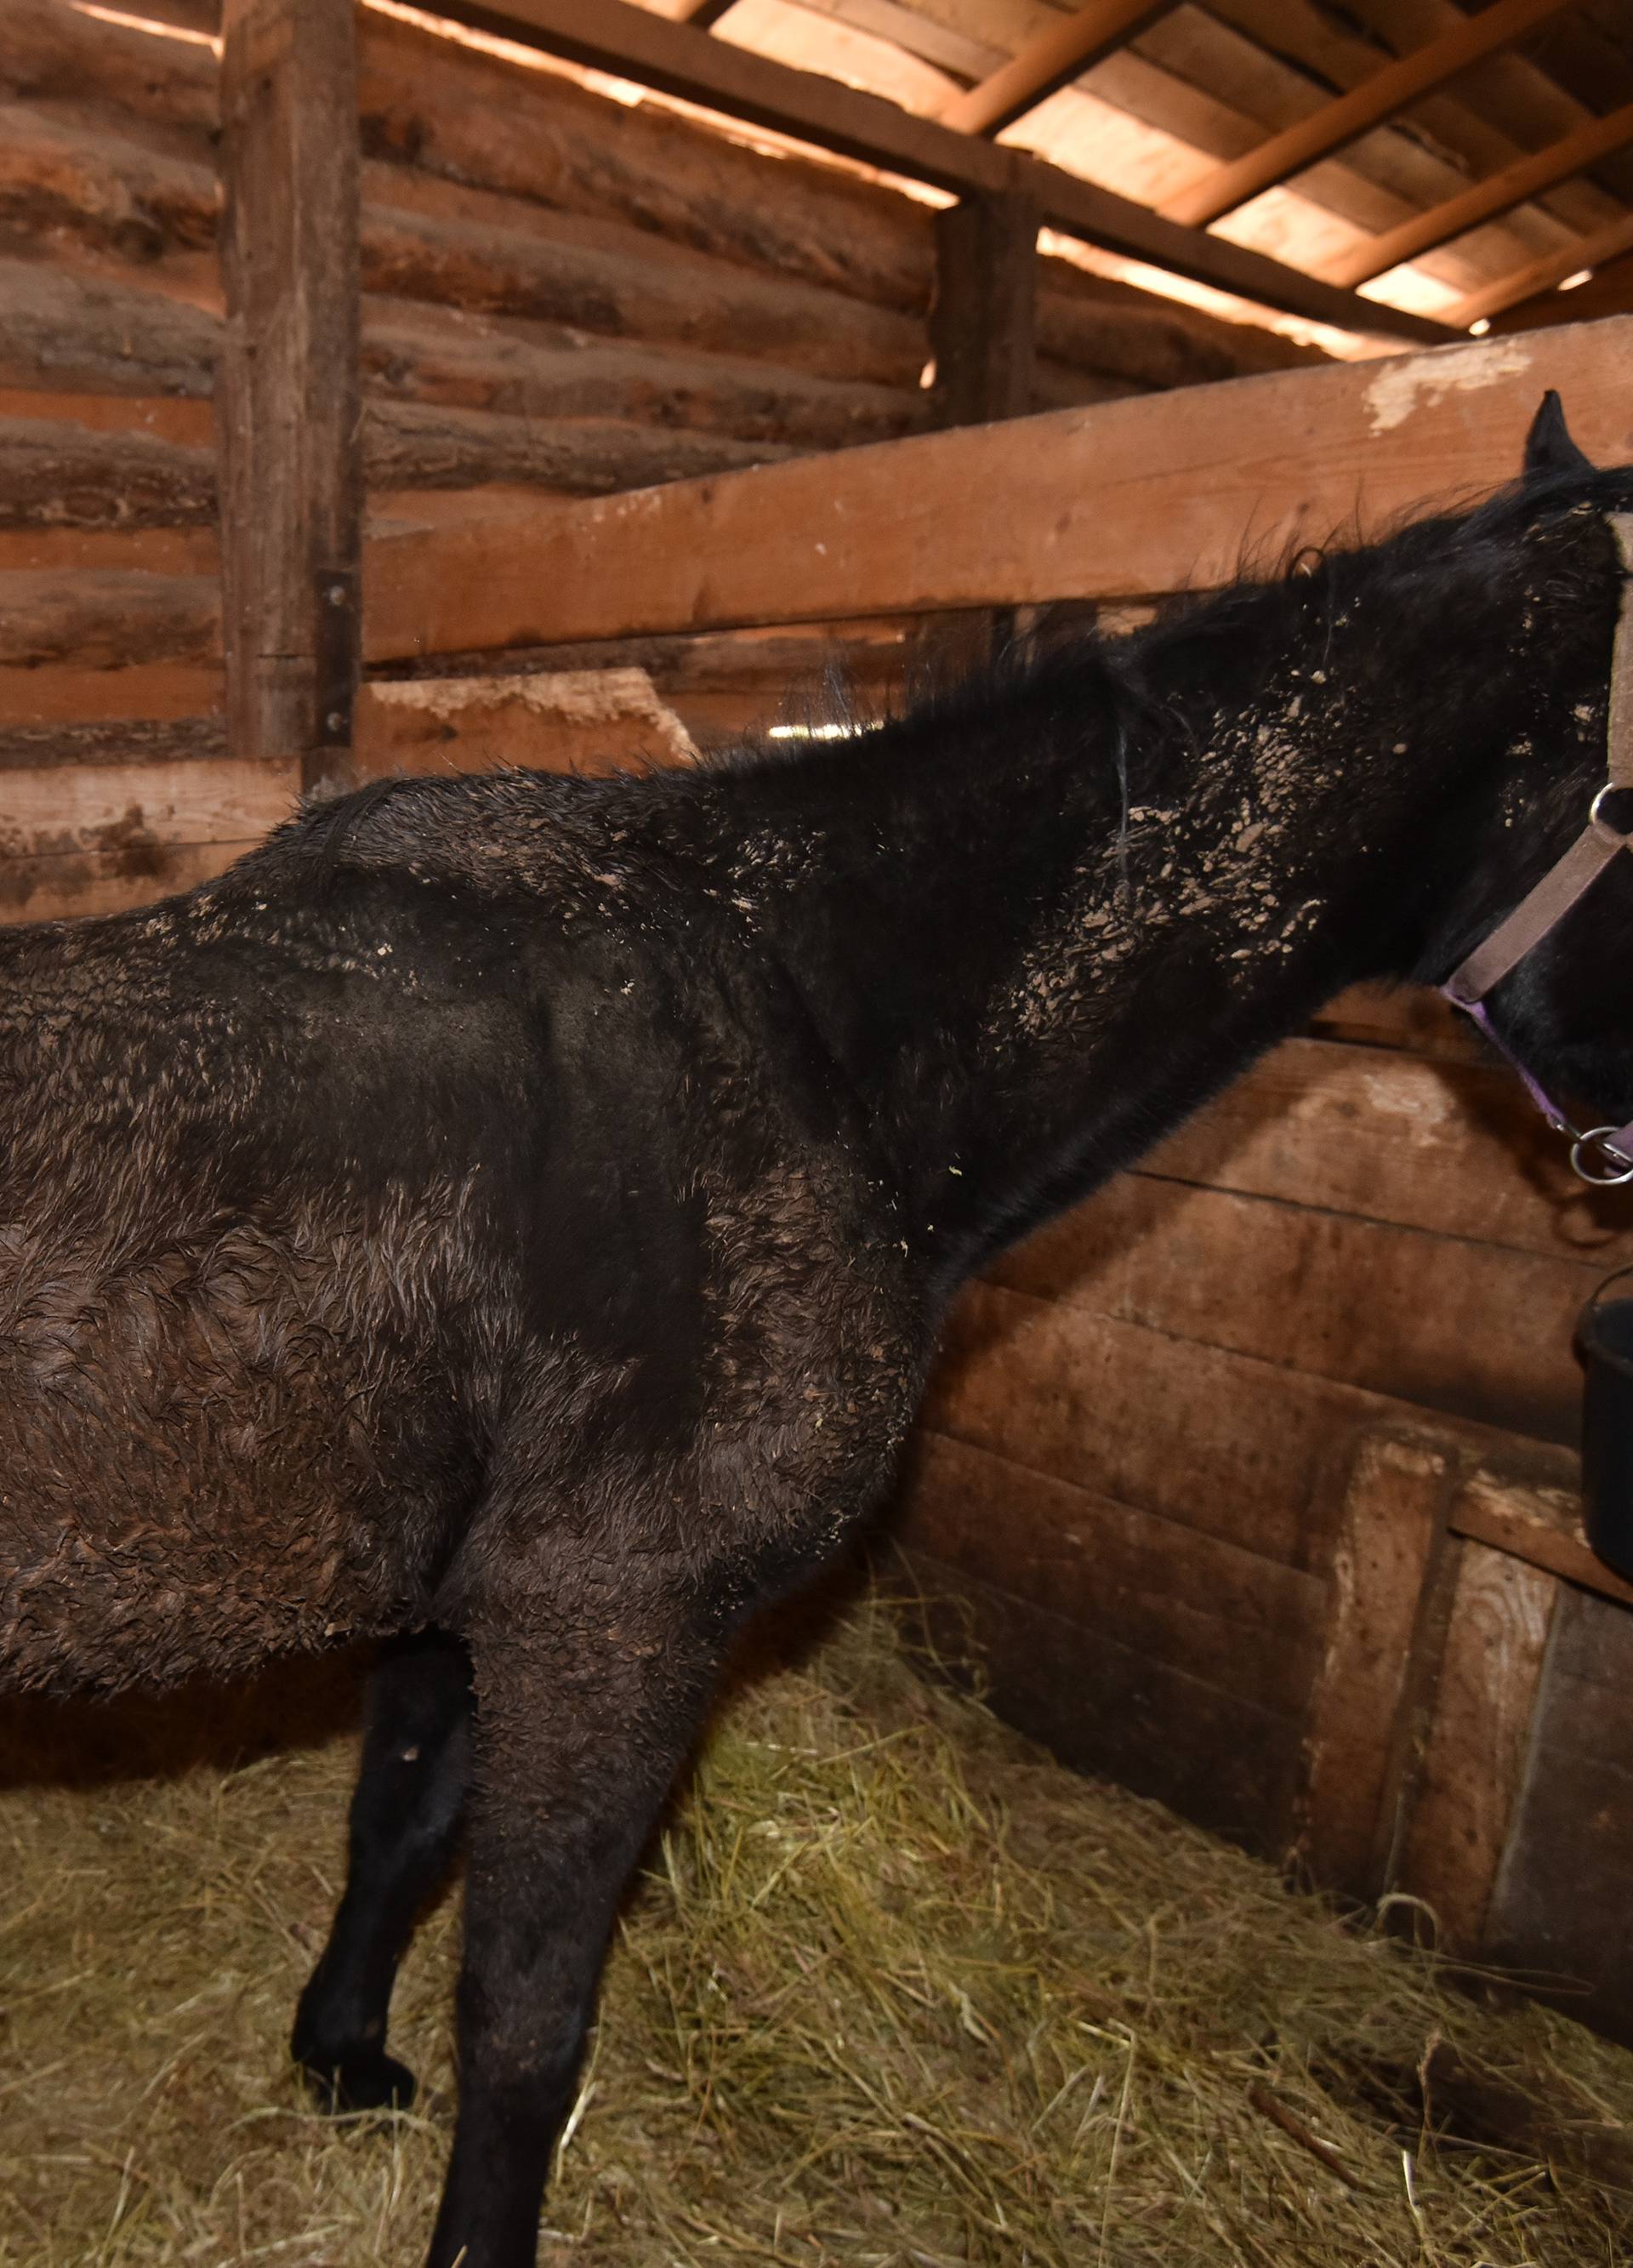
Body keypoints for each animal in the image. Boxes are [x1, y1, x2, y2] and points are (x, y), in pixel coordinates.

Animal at [3, 399, 1633, 2259]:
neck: (812, 1016)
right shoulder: (612, 1616)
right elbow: (529, 2011)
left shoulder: (462, 1601)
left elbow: (399, 1823)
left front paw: (340, 2051)